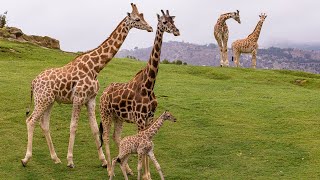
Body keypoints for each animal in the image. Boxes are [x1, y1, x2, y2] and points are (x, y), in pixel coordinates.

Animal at [21, 2, 154, 169]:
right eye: (137, 19)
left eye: (143, 16)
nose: (150, 27)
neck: (95, 68)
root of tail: (33, 82)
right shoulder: (78, 98)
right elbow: (73, 126)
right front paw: (70, 160)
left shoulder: (90, 99)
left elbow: (95, 129)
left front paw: (103, 161)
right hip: (42, 99)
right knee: (31, 120)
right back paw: (26, 159)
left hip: (49, 100)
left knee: (44, 124)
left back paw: (55, 158)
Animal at [99, 9, 180, 177]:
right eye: (164, 22)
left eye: (173, 21)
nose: (177, 31)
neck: (148, 86)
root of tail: (103, 92)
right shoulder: (140, 119)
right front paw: (145, 175)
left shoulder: (150, 117)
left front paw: (147, 174)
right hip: (105, 113)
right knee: (106, 136)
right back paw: (110, 169)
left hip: (118, 117)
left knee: (116, 136)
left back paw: (127, 168)